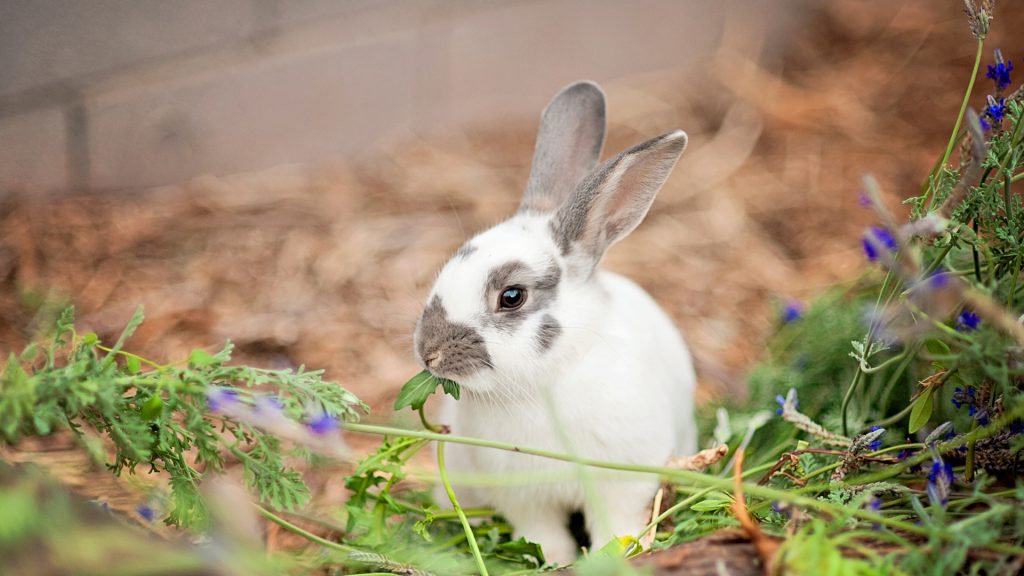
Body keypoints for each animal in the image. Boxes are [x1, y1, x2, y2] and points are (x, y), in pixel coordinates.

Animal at [413, 80, 696, 565]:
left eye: (512, 296)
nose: (428, 352)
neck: (542, 385)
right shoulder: (523, 499)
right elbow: (544, 534)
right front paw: (557, 561)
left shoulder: (622, 483)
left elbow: (615, 525)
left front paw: (612, 556)